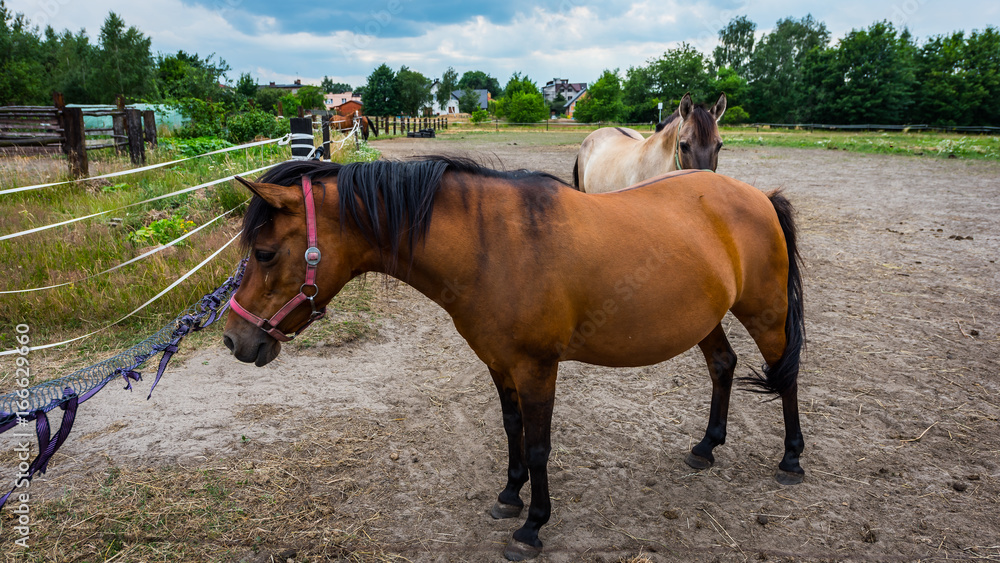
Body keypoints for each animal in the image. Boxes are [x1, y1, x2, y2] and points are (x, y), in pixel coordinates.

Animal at [225, 158, 804, 560]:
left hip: (766, 314)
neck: (492, 246)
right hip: (706, 319)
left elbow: (540, 445)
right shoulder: (499, 364)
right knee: (723, 365)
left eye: (265, 253)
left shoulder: (537, 368)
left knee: (787, 376)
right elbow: (512, 430)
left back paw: (791, 460)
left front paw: (532, 527)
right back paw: (706, 447)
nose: (234, 340)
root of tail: (758, 196)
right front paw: (509, 494)